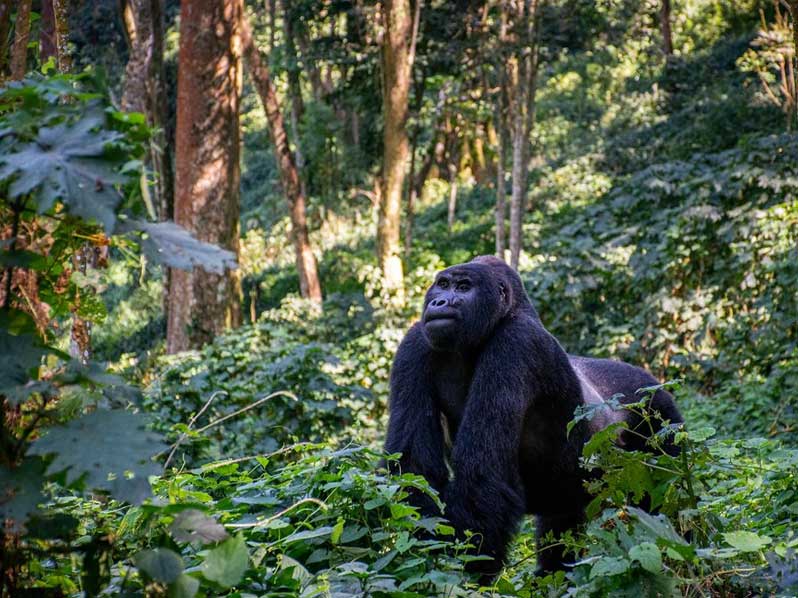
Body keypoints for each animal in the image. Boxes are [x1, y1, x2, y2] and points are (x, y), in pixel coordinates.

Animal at [384, 255, 684, 580]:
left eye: (463, 287)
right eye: (442, 284)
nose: (438, 302)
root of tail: (653, 381)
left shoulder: (516, 344)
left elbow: (482, 474)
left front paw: (463, 574)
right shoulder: (416, 342)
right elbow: (414, 468)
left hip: (659, 414)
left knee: (668, 496)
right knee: (563, 521)